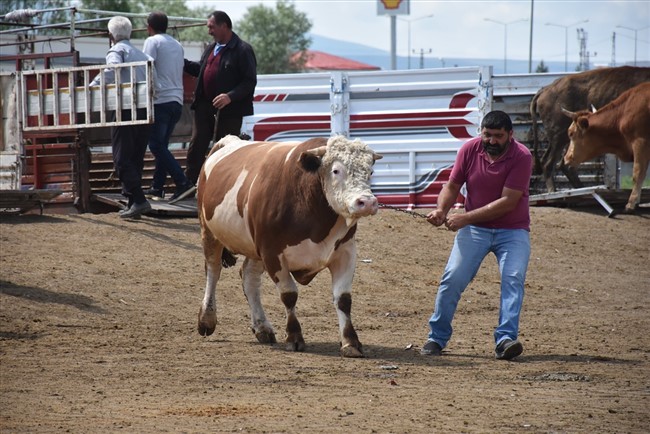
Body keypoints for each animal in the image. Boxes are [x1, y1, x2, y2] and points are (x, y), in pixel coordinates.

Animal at [195, 135, 382, 356]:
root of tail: (227, 141)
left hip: (255, 248)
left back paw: (262, 327)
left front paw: (350, 342)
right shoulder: (272, 252)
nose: (367, 202)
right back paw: (207, 319)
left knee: (249, 277)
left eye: (370, 171)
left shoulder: (346, 251)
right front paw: (294, 337)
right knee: (213, 271)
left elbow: (343, 299)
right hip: (209, 232)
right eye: (336, 170)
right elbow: (289, 295)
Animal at [560, 82, 648, 214]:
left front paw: (631, 204)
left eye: (570, 133)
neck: (622, 114)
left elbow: (638, 172)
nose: (566, 158)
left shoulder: (640, 142)